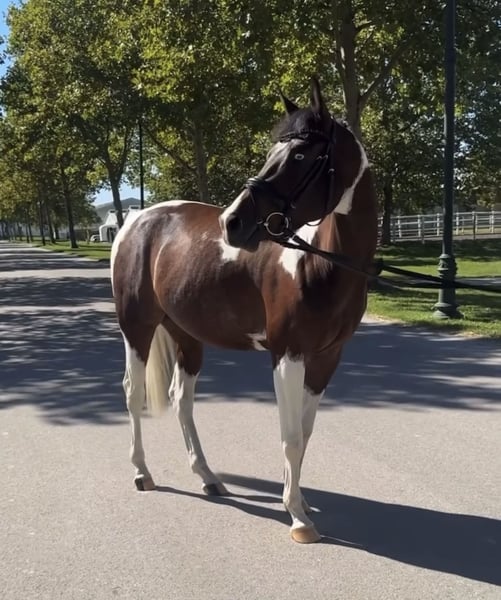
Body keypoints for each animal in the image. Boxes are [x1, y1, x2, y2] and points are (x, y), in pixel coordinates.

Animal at [111, 77, 378, 543]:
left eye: (301, 155)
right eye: (274, 151)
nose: (232, 222)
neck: (319, 263)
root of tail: (134, 220)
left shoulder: (327, 358)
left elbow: (304, 433)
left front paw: (298, 499)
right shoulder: (287, 354)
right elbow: (290, 436)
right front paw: (298, 517)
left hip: (187, 335)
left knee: (182, 399)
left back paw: (207, 476)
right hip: (137, 328)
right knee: (133, 392)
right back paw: (142, 472)